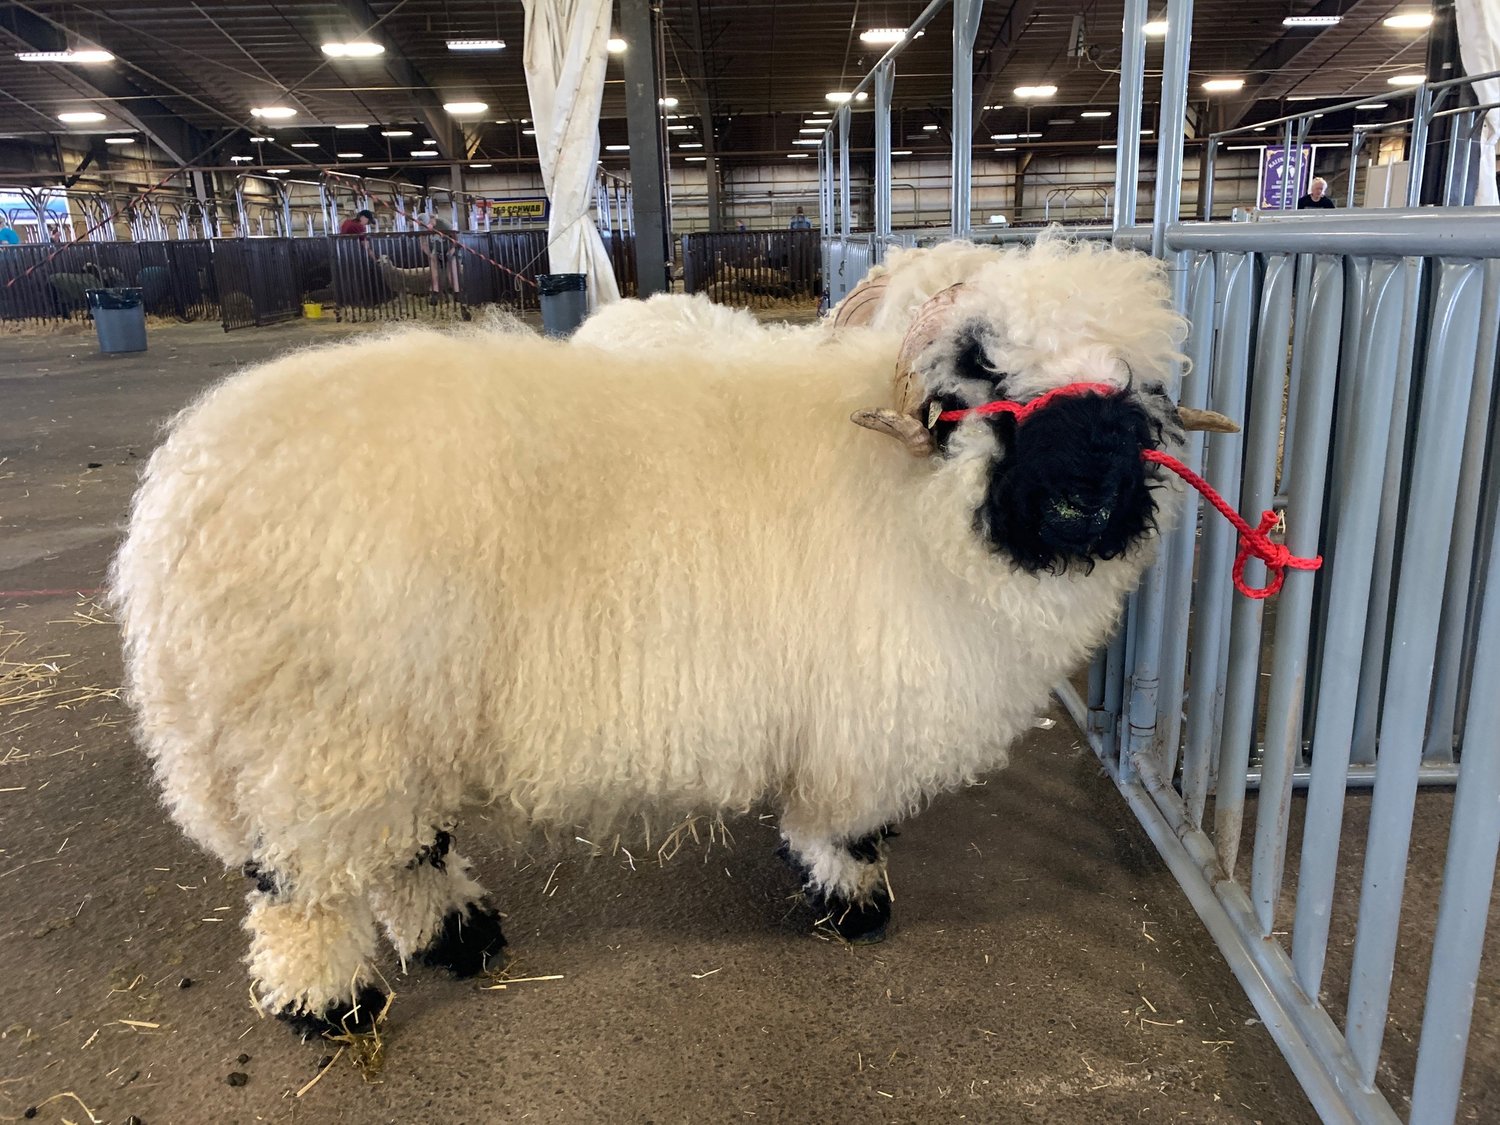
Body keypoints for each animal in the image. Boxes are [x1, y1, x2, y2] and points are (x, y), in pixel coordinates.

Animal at [111, 237, 1201, 1038]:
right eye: (982, 373)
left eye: (1135, 396)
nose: (1087, 501)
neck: (914, 500)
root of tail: (184, 484)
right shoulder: (854, 708)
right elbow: (841, 822)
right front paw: (855, 904)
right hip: (311, 734)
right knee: (302, 885)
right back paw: (332, 1003)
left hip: (383, 729)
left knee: (402, 849)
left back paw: (462, 937)